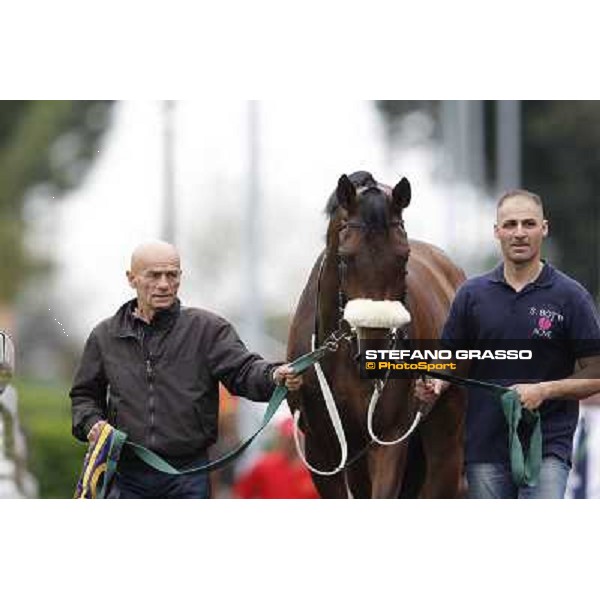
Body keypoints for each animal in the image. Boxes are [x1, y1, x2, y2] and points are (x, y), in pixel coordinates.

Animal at [288, 171, 468, 500]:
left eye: (403, 257)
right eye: (345, 257)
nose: (376, 353)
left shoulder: (389, 436)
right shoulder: (322, 448)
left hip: (446, 439)